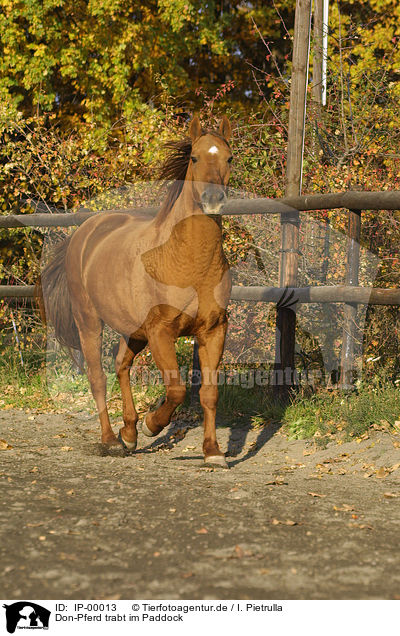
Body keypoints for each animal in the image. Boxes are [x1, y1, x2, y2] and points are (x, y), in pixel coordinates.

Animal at [39, 117, 233, 468]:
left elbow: (208, 394)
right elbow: (176, 390)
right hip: (89, 321)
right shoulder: (161, 332)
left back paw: (128, 434)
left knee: (121, 365)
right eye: (195, 157)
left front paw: (213, 453)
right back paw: (111, 440)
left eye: (229, 158)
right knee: (98, 378)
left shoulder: (213, 330)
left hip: (134, 330)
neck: (187, 260)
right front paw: (152, 425)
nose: (213, 198)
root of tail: (84, 232)